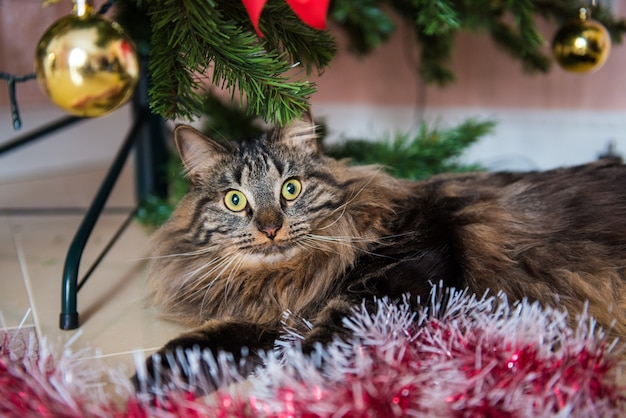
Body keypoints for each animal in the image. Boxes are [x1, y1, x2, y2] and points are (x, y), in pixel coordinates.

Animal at [140, 117, 624, 392]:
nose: (270, 227)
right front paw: (150, 381)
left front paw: (290, 380)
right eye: (235, 200)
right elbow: (206, 343)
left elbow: (329, 335)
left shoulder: (403, 275)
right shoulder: (275, 317)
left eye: (290, 189)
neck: (291, 279)